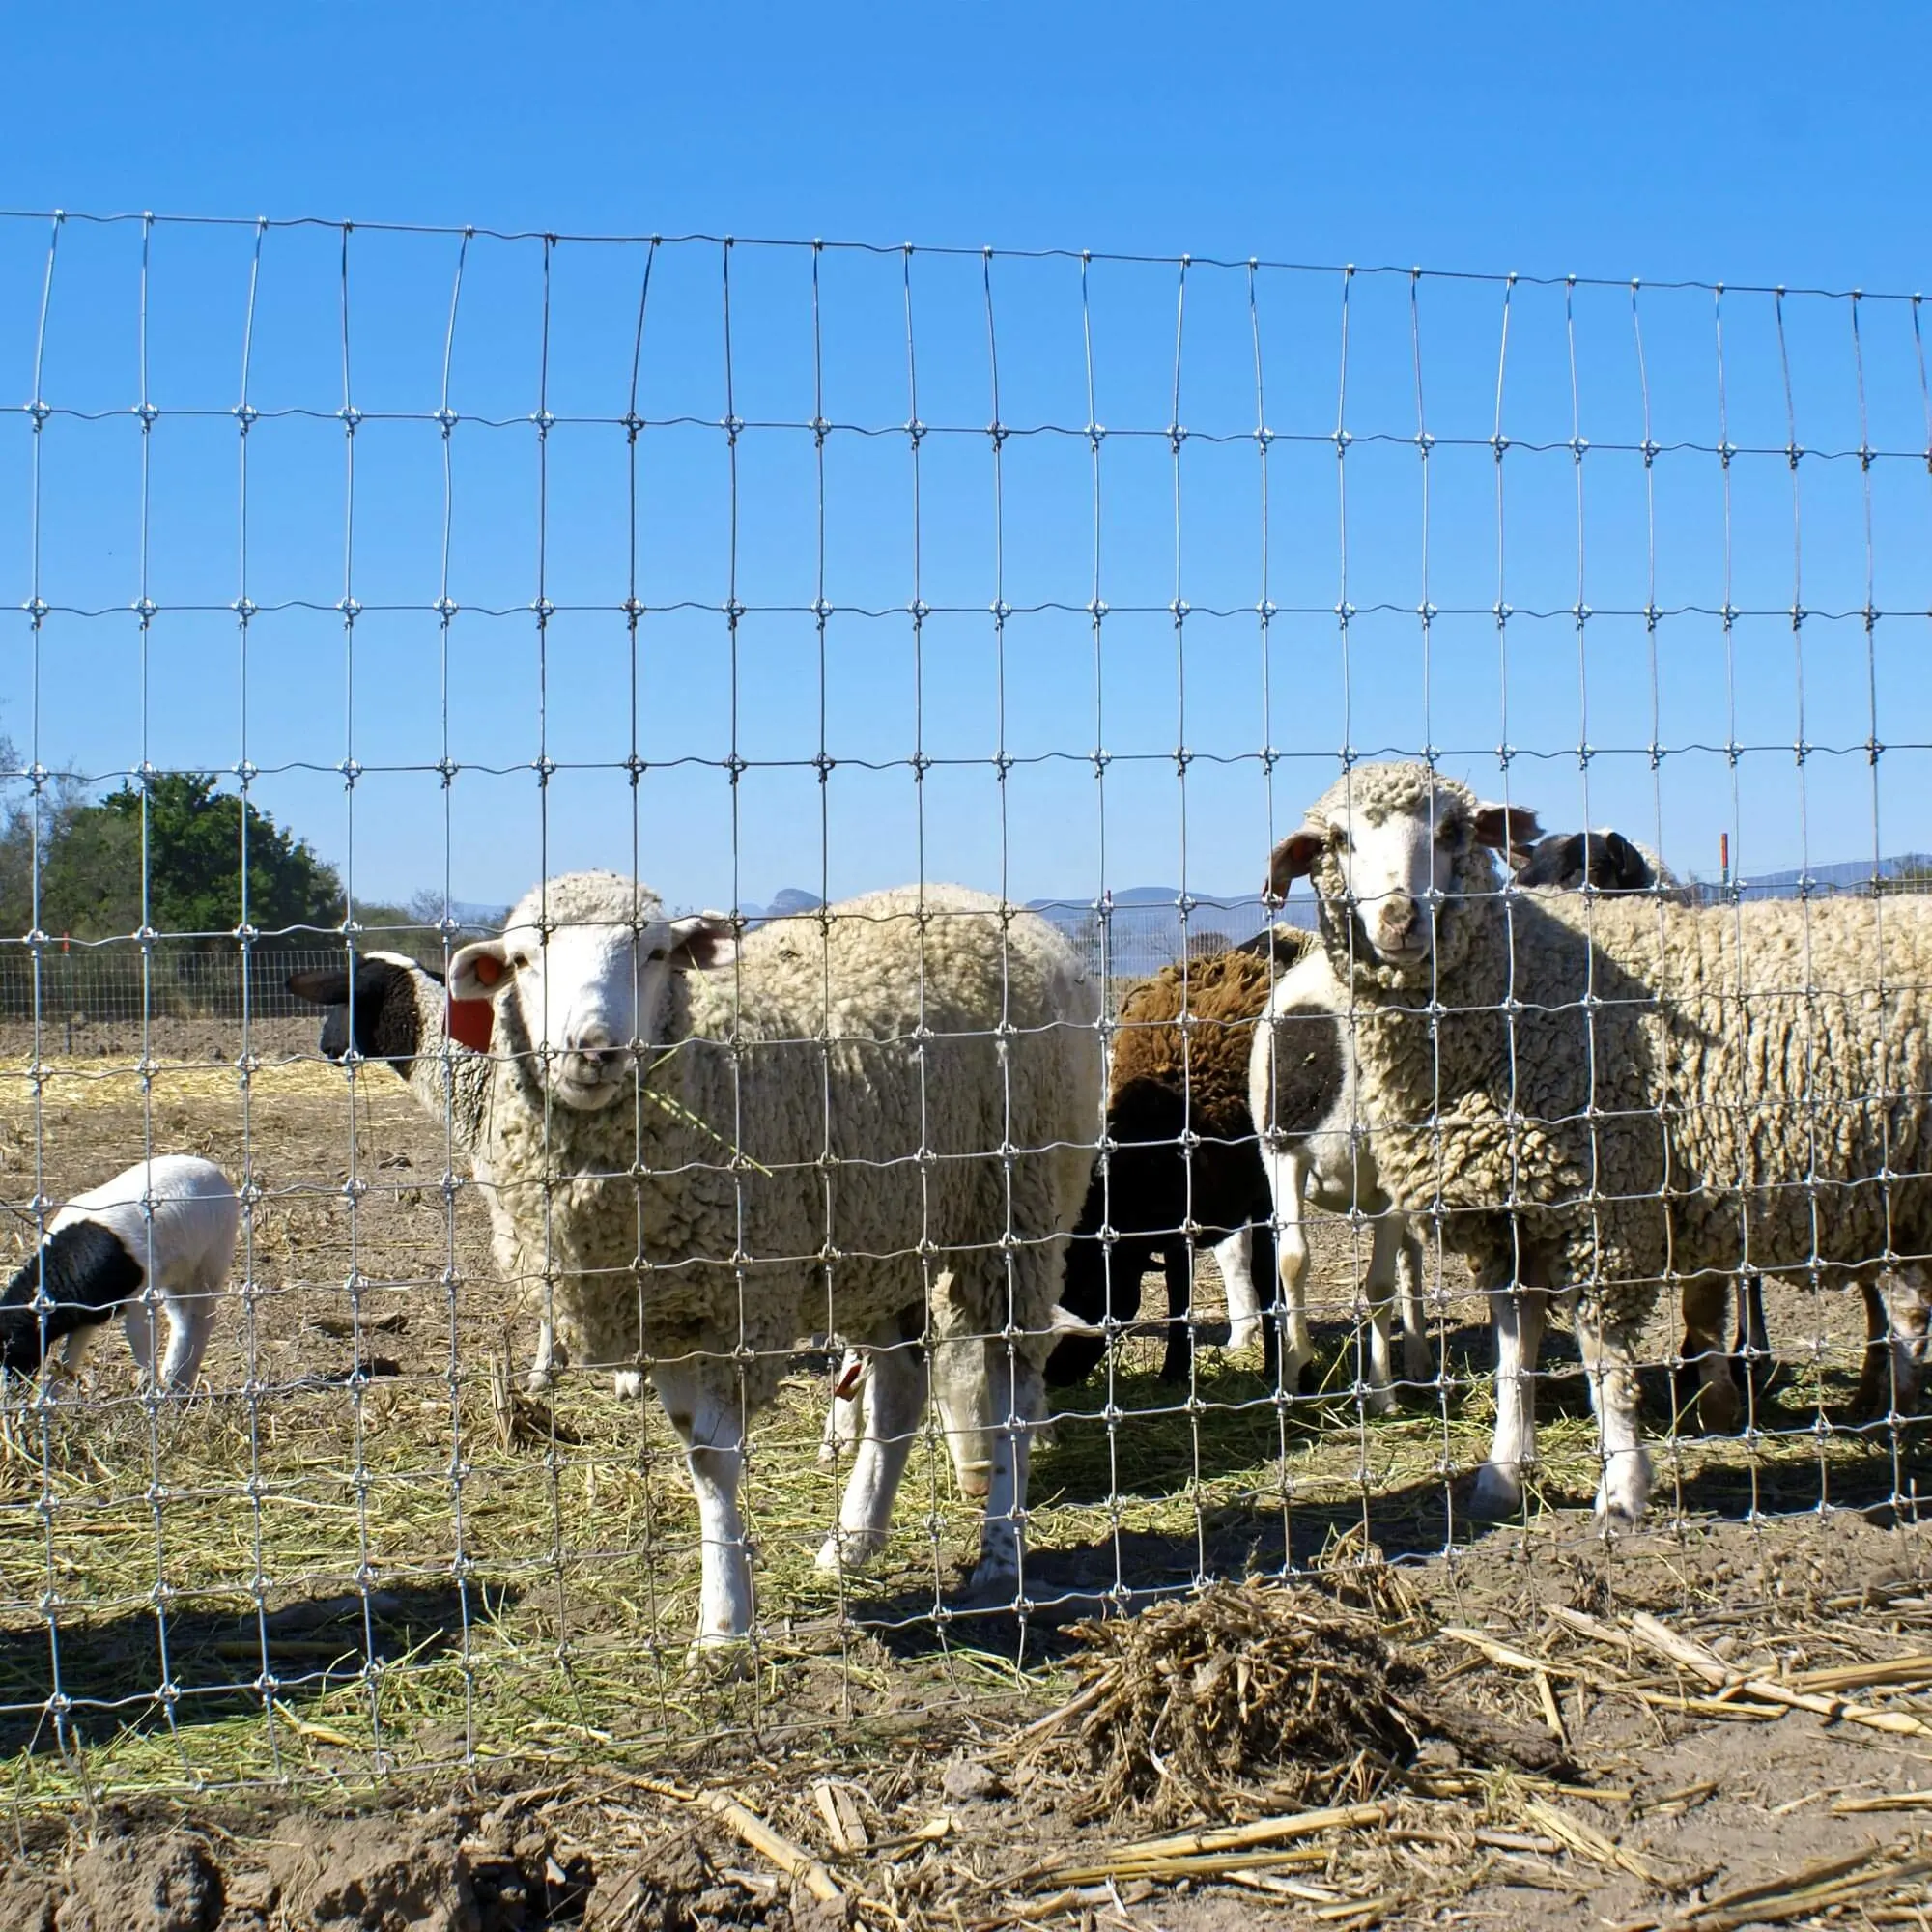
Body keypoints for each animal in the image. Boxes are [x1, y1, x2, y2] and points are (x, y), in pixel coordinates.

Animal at [0, 1151, 242, 1399]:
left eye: (11, 1345)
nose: (11, 1391)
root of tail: (212, 1168)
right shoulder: (88, 1314)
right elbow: (70, 1356)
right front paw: (52, 1395)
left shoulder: (139, 1294)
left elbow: (138, 1338)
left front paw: (150, 1388)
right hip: (177, 1274)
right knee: (182, 1319)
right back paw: (176, 1380)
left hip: (211, 1260)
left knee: (200, 1317)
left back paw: (178, 1382)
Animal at [442, 877, 1105, 1646]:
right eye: (522, 960)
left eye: (657, 951)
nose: (594, 1050)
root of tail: (994, 905)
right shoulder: (664, 1316)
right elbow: (698, 1457)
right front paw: (726, 1613)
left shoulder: (741, 1303)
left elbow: (717, 1461)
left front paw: (725, 1629)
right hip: (882, 1236)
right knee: (901, 1389)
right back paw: (852, 1542)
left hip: (1018, 1207)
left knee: (1014, 1382)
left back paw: (1000, 1549)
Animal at [1267, 761, 1932, 1530]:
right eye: (1337, 841)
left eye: (1452, 831)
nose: (1401, 919)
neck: (1522, 988)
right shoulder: (1510, 1220)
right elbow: (1514, 1353)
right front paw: (1502, 1474)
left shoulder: (1605, 1210)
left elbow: (1605, 1357)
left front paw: (1621, 1490)